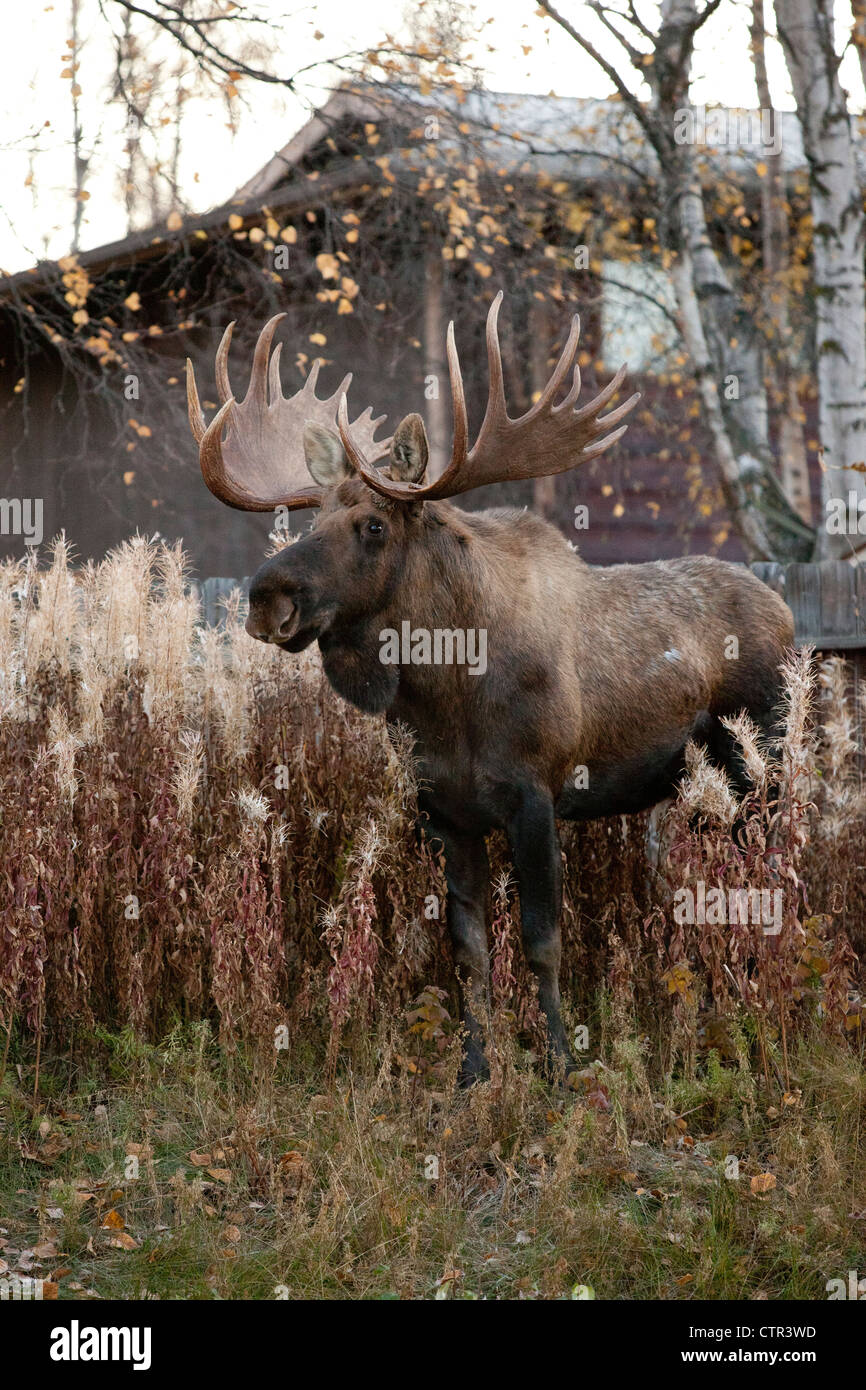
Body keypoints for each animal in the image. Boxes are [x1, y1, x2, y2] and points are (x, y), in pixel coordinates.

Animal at [186, 293, 795, 1084]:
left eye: (373, 525)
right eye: (313, 516)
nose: (268, 598)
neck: (443, 697)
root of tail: (786, 611)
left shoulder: (534, 793)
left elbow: (541, 941)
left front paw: (560, 1065)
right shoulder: (445, 808)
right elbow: (469, 949)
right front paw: (473, 1069)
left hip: (762, 768)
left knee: (769, 882)